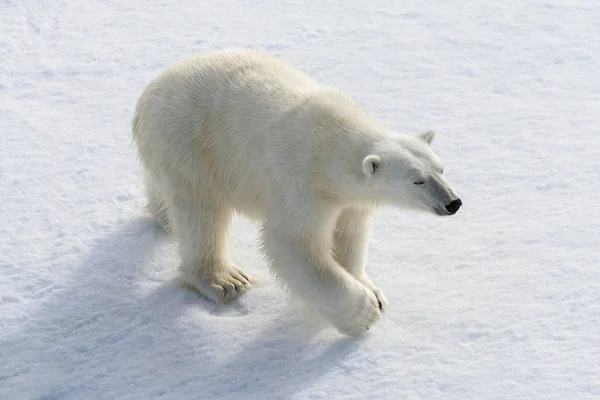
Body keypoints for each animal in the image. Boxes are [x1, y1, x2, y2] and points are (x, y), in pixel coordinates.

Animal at [131, 50, 462, 338]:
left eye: (441, 169)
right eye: (418, 181)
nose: (453, 203)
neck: (335, 140)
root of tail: (150, 90)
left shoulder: (350, 199)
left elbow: (349, 234)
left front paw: (373, 290)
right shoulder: (303, 181)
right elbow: (294, 243)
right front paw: (364, 313)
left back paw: (164, 217)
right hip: (188, 141)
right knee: (201, 212)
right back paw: (225, 280)